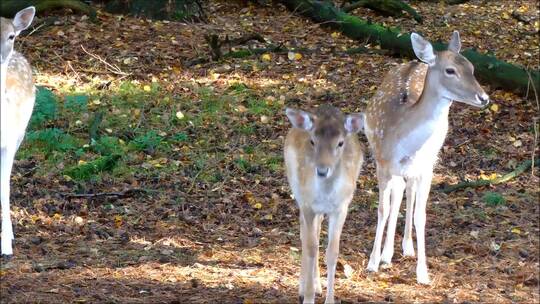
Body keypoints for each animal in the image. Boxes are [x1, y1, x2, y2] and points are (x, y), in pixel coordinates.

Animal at [284, 105, 364, 304]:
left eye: (340, 143)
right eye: (312, 141)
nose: (321, 170)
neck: (326, 195)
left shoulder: (341, 208)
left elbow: (332, 252)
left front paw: (329, 299)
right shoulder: (307, 205)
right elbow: (311, 247)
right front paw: (308, 297)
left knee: (317, 231)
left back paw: (318, 286)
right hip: (298, 195)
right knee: (305, 236)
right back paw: (304, 287)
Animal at [364, 31, 488, 284]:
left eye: (472, 67)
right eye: (450, 70)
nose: (484, 98)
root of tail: (418, 61)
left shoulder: (427, 170)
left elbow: (420, 215)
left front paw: (423, 273)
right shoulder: (382, 164)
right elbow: (382, 209)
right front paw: (372, 263)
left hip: (423, 164)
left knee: (407, 191)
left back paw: (405, 248)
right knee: (398, 194)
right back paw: (386, 255)